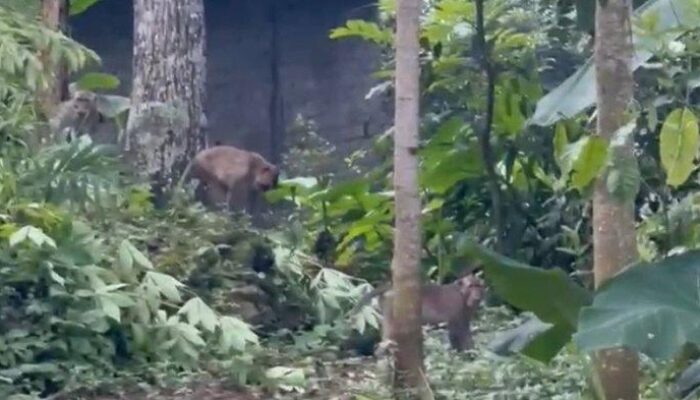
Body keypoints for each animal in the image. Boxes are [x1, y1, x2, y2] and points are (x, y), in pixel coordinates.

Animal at [350, 274, 486, 352]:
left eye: (478, 286)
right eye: (471, 286)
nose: (477, 296)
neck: (462, 294)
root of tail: (391, 287)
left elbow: (465, 328)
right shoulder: (455, 303)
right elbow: (456, 330)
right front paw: (465, 354)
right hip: (392, 304)